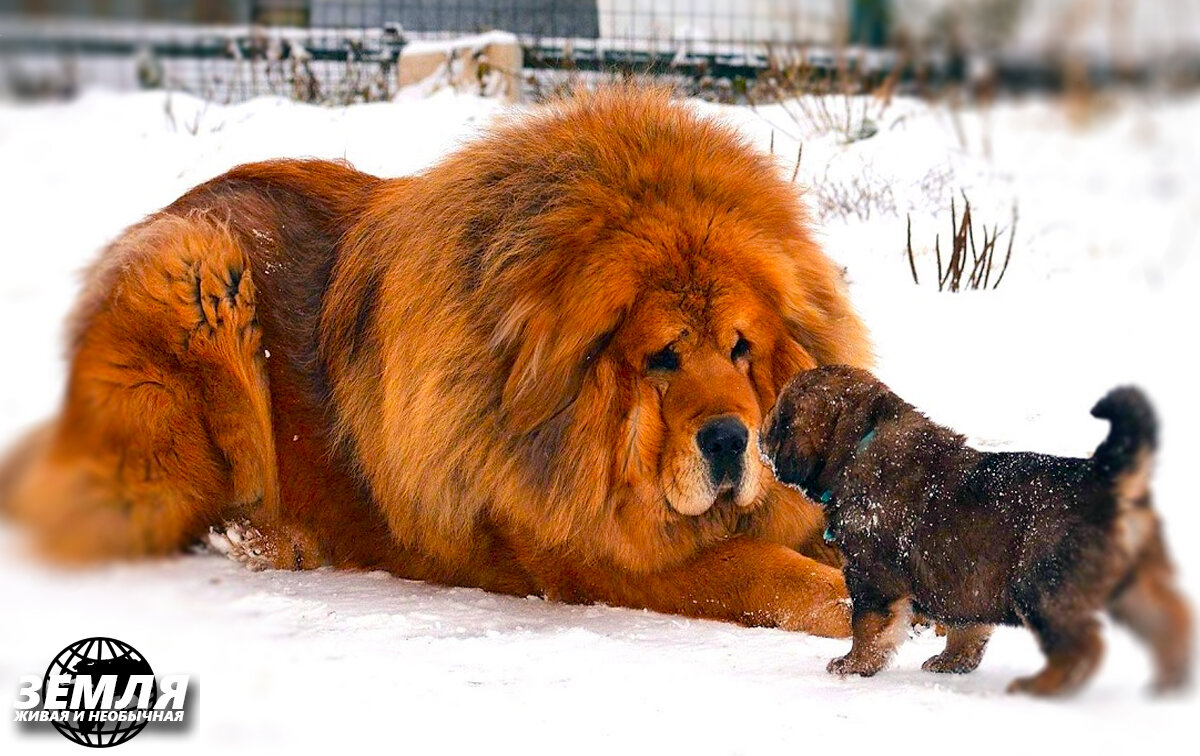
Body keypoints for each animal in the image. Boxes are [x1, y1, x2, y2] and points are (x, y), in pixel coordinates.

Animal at [4, 85, 878, 638]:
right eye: (662, 357)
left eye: (741, 348)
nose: (732, 439)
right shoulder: (597, 556)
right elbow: (764, 572)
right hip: (196, 278)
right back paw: (267, 539)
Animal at [758, 367, 1190, 700]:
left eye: (779, 418)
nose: (758, 437)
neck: (860, 443)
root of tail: (1108, 479)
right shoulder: (961, 580)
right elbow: (966, 627)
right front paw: (953, 662)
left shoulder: (871, 575)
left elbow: (866, 627)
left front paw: (852, 665)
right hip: (1135, 584)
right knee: (1171, 621)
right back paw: (1171, 680)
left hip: (1041, 586)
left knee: (1083, 645)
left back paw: (1041, 687)